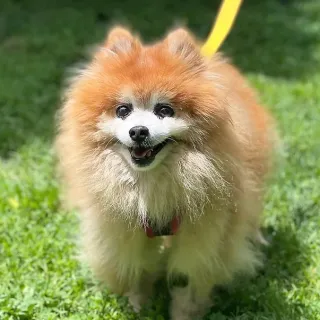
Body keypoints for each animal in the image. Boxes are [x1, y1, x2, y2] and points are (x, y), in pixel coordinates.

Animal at [56, 26, 278, 318]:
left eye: (164, 110)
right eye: (123, 110)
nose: (138, 131)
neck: (154, 184)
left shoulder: (206, 232)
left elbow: (191, 277)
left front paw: (185, 312)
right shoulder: (123, 229)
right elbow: (135, 269)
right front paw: (139, 304)